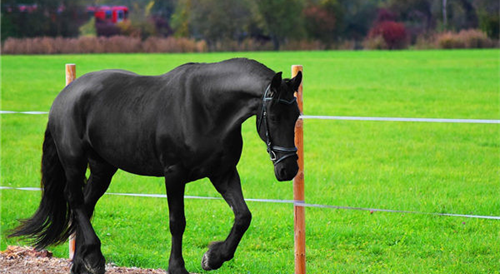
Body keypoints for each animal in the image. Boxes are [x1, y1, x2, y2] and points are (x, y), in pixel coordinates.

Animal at [9, 58, 300, 274]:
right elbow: (177, 222)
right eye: (274, 117)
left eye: (296, 115)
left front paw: (213, 257)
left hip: (103, 168)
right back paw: (94, 257)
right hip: (74, 162)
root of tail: (65, 96)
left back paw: (83, 262)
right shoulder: (174, 175)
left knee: (86, 205)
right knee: (75, 200)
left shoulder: (223, 174)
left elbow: (243, 216)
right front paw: (178, 267)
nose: (289, 170)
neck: (207, 107)